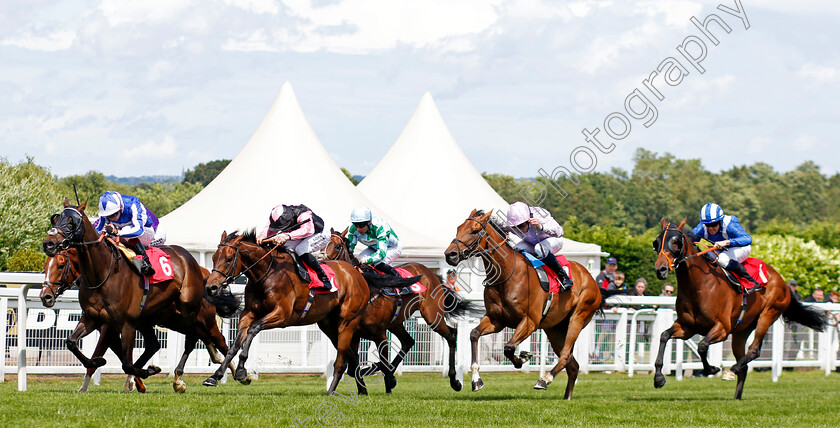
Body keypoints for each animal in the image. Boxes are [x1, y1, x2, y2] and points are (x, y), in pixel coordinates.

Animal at [43, 199, 240, 392]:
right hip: (165, 319)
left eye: (71, 222)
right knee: (158, 344)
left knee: (205, 340)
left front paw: (144, 373)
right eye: (57, 219)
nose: (48, 243)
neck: (102, 273)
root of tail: (199, 268)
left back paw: (215, 375)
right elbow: (72, 342)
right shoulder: (93, 318)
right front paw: (100, 364)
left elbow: (126, 362)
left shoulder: (123, 323)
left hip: (194, 314)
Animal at [202, 231, 370, 394]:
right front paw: (215, 376)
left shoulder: (282, 315)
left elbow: (253, 329)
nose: (211, 287)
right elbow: (235, 345)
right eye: (214, 258)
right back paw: (362, 390)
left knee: (341, 361)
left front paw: (241, 371)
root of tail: (356, 274)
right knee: (353, 356)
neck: (267, 273)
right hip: (329, 326)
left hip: (347, 323)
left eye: (229, 259)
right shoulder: (248, 314)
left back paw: (330, 393)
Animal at [324, 227, 476, 392]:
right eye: (323, 244)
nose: (325, 265)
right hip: (396, 322)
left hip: (432, 316)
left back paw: (455, 381)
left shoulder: (378, 332)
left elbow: (375, 363)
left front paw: (384, 375)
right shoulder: (354, 332)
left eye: (337, 246)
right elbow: (353, 367)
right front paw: (382, 378)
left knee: (451, 335)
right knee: (408, 341)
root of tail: (432, 274)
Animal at [442, 210, 600, 398]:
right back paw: (566, 397)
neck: (505, 276)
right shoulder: (496, 320)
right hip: (554, 329)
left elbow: (509, 347)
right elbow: (474, 334)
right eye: (459, 228)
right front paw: (476, 379)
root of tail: (590, 277)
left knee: (565, 355)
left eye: (474, 230)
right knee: (573, 365)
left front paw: (522, 358)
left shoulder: (529, 322)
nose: (450, 254)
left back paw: (544, 380)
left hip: (578, 318)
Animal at [652, 219, 824, 400]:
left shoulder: (722, 328)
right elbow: (664, 336)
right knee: (745, 364)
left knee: (754, 351)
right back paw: (736, 396)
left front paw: (712, 369)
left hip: (768, 314)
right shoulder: (687, 327)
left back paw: (731, 370)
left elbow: (702, 346)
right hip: (741, 331)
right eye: (656, 243)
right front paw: (659, 378)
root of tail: (783, 282)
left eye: (675, 242)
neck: (698, 286)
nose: (660, 269)